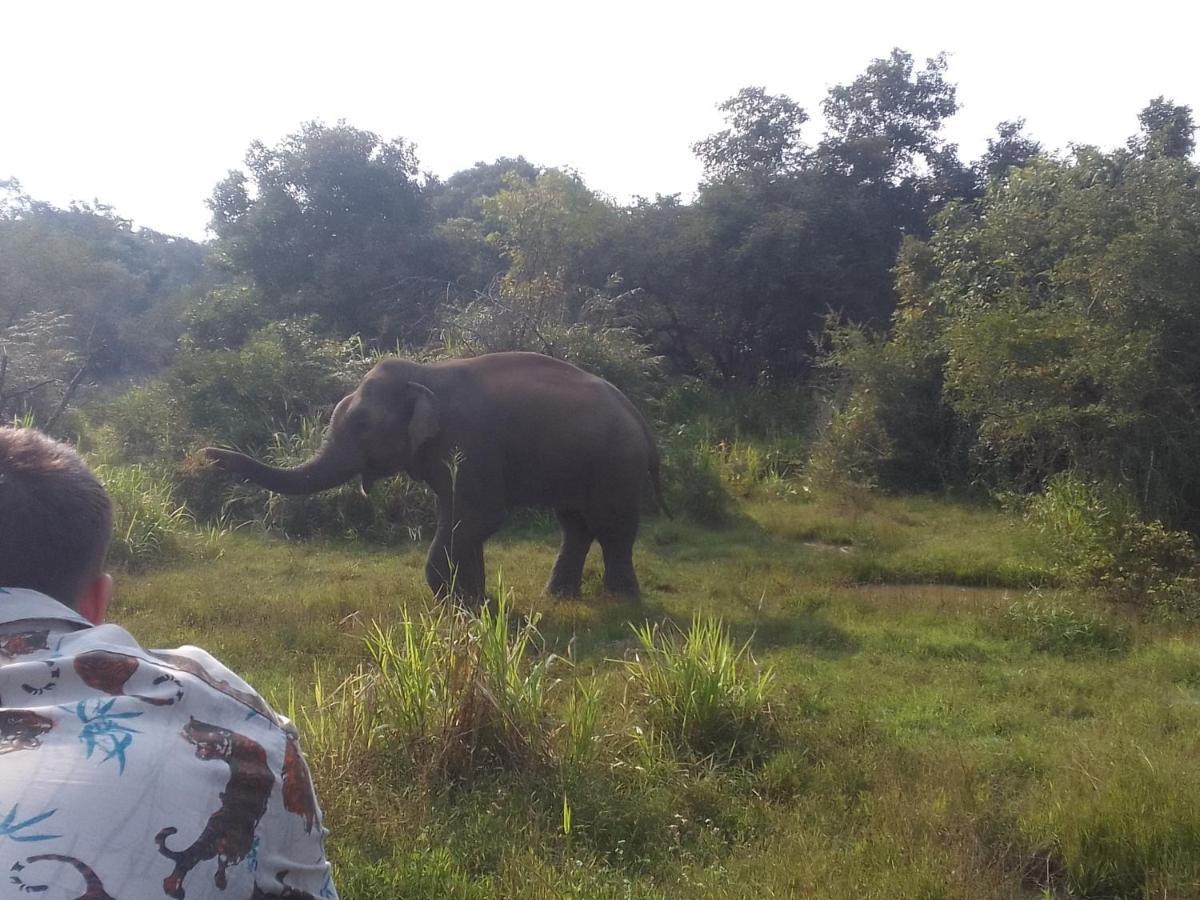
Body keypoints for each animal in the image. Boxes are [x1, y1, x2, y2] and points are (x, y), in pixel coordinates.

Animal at [210, 350, 672, 600]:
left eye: (361, 424)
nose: (208, 456)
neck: (425, 373)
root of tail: (639, 417)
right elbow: (458, 516)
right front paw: (476, 603)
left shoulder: (470, 443)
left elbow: (479, 516)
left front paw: (456, 602)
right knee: (575, 525)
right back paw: (558, 596)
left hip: (617, 464)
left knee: (612, 526)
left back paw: (621, 600)